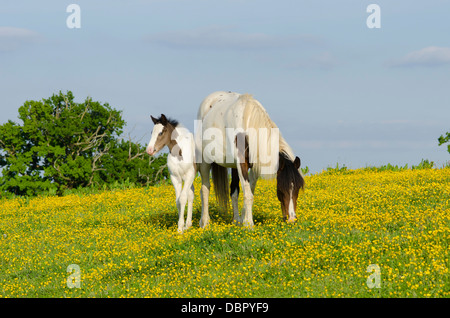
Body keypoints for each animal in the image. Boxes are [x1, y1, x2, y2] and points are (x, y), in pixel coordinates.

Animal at [195, 90, 304, 227]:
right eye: (280, 189)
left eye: (298, 188)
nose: (291, 219)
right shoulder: (242, 164)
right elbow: (248, 194)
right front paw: (249, 224)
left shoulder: (254, 166)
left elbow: (249, 191)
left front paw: (244, 220)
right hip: (205, 160)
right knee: (205, 189)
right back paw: (205, 222)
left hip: (233, 165)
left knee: (234, 191)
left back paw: (235, 220)